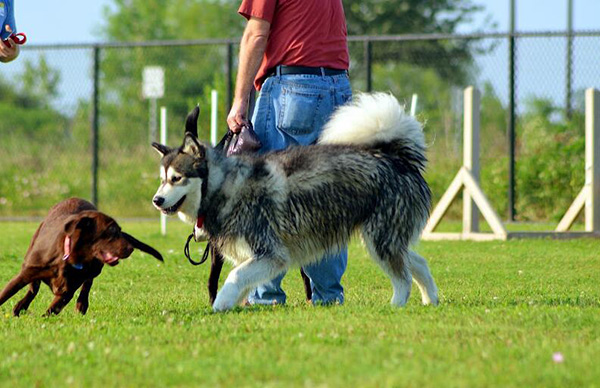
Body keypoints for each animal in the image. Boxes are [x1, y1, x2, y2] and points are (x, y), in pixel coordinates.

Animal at [0, 199, 163, 316]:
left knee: (87, 284)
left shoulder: (68, 290)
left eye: (119, 230)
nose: (131, 248)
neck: (67, 258)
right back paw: (20, 307)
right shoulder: (26, 273)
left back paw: (81, 305)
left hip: (95, 269)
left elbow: (52, 309)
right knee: (33, 288)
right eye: (111, 230)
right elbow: (6, 293)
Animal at [152, 94, 438, 312]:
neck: (224, 186)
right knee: (418, 262)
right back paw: (431, 299)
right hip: (385, 239)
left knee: (403, 278)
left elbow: (234, 276)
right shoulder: (253, 257)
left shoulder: (272, 254)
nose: (157, 200)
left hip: (380, 239)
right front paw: (231, 303)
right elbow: (242, 281)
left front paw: (220, 305)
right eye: (162, 180)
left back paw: (396, 305)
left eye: (177, 178)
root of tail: (398, 159)